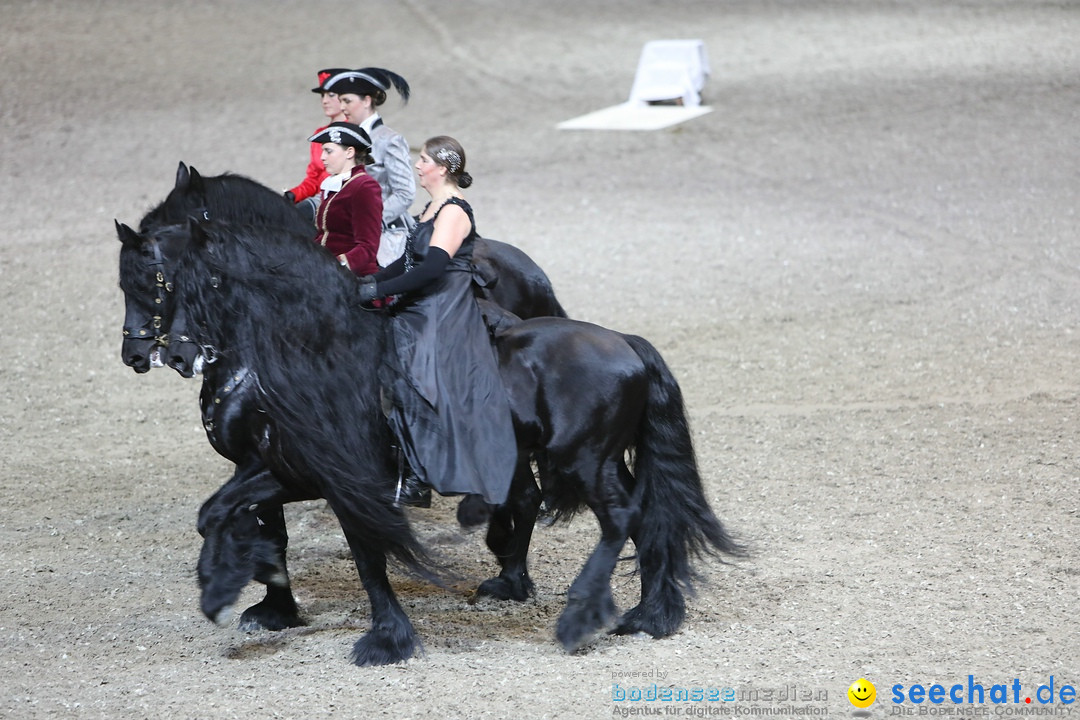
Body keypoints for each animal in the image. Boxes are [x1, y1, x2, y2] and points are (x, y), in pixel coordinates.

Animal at [170, 220, 743, 664]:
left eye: (207, 279)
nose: (180, 355)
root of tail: (624, 342)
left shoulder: (346, 485)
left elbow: (367, 558)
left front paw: (386, 641)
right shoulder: (292, 471)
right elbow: (213, 511)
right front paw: (223, 588)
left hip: (583, 461)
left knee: (620, 518)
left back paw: (580, 617)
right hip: (599, 461)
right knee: (645, 519)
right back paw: (649, 616)